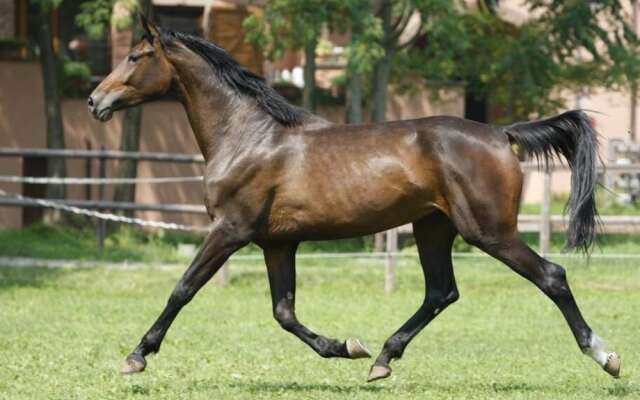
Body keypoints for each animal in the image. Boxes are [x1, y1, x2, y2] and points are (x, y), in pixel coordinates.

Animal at [88, 16, 620, 382]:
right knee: (441, 292)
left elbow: (183, 288)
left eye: (136, 56)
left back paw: (605, 355)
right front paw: (347, 347)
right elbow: (284, 313)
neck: (248, 137)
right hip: (432, 227)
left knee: (551, 276)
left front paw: (136, 356)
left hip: (489, 231)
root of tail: (502, 133)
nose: (96, 101)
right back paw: (381, 359)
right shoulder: (277, 243)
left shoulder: (230, 230)